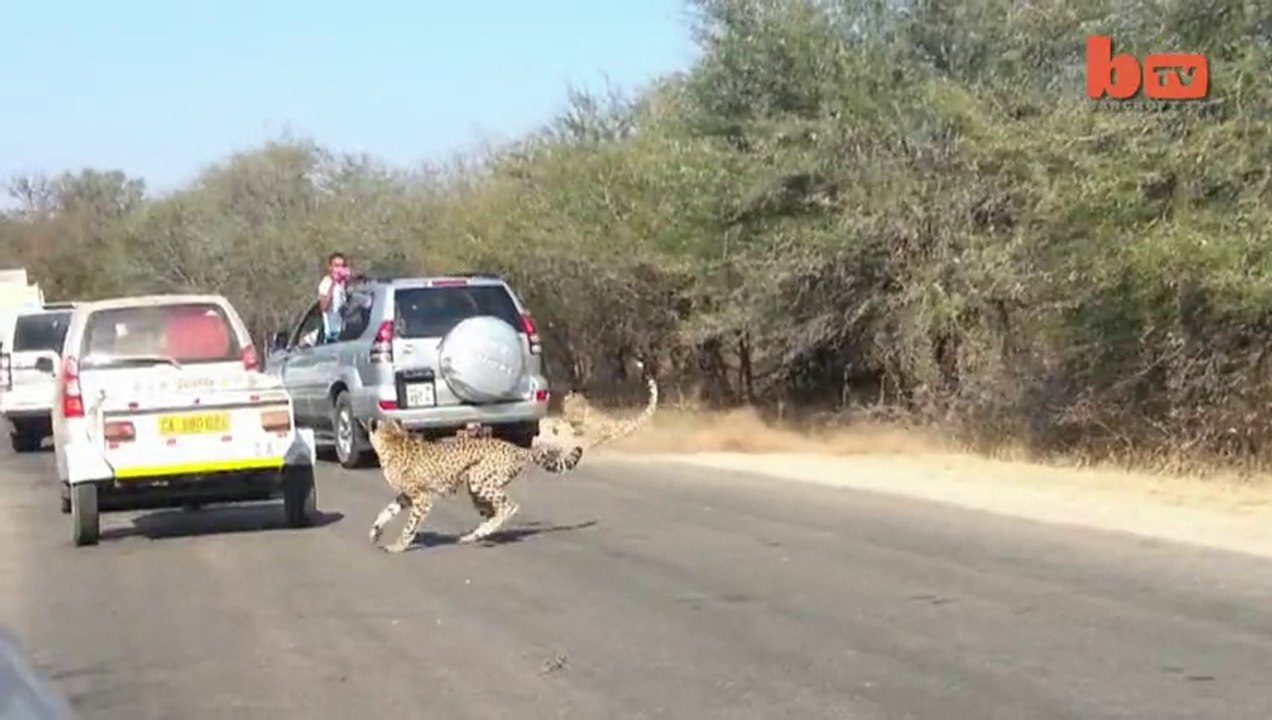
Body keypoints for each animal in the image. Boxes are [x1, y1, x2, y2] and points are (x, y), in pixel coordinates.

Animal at [362, 417, 585, 553]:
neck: (392, 439)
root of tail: (515, 448)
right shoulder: (407, 496)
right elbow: (386, 512)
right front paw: (375, 532)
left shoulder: (422, 498)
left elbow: (409, 526)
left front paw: (399, 546)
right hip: (477, 490)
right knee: (493, 513)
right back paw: (477, 534)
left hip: (478, 480)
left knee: (509, 506)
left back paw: (481, 534)